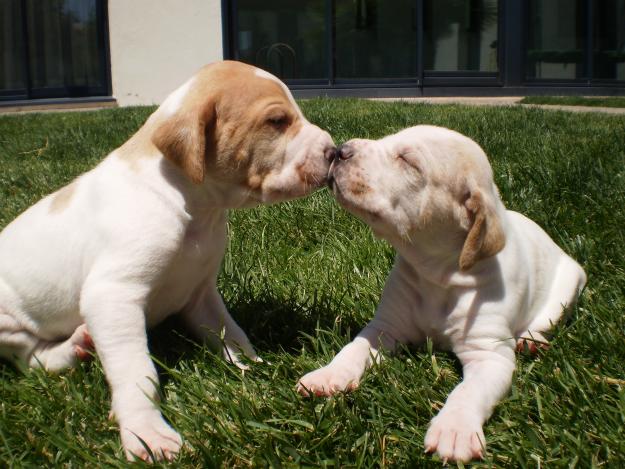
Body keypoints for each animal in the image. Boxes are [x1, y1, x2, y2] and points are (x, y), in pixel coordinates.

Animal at [0, 60, 336, 458]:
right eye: (277, 121)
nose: (335, 151)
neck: (194, 206)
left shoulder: (201, 294)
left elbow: (232, 333)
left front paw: (253, 368)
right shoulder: (112, 296)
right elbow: (136, 370)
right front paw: (146, 431)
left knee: (37, 358)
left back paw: (77, 346)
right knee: (29, 357)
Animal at [298, 126, 584, 462]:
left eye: (409, 161)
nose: (339, 150)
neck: (437, 275)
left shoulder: (490, 354)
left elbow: (468, 391)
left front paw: (455, 429)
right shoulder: (386, 327)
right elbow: (353, 349)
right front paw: (328, 375)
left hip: (570, 284)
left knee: (546, 318)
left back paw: (531, 341)